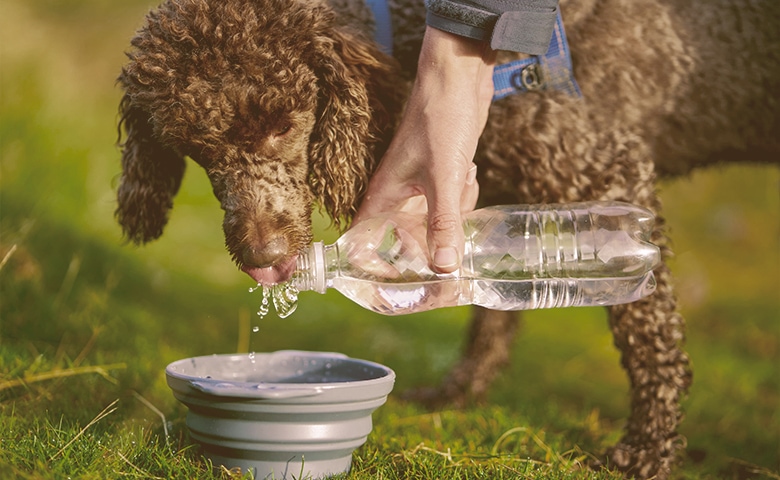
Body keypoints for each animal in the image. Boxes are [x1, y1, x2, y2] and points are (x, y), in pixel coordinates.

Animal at [117, 1, 780, 478]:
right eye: (193, 147)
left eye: (282, 123)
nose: (263, 257)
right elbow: (493, 313)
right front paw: (461, 391)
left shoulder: (607, 170)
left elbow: (650, 335)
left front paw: (650, 447)